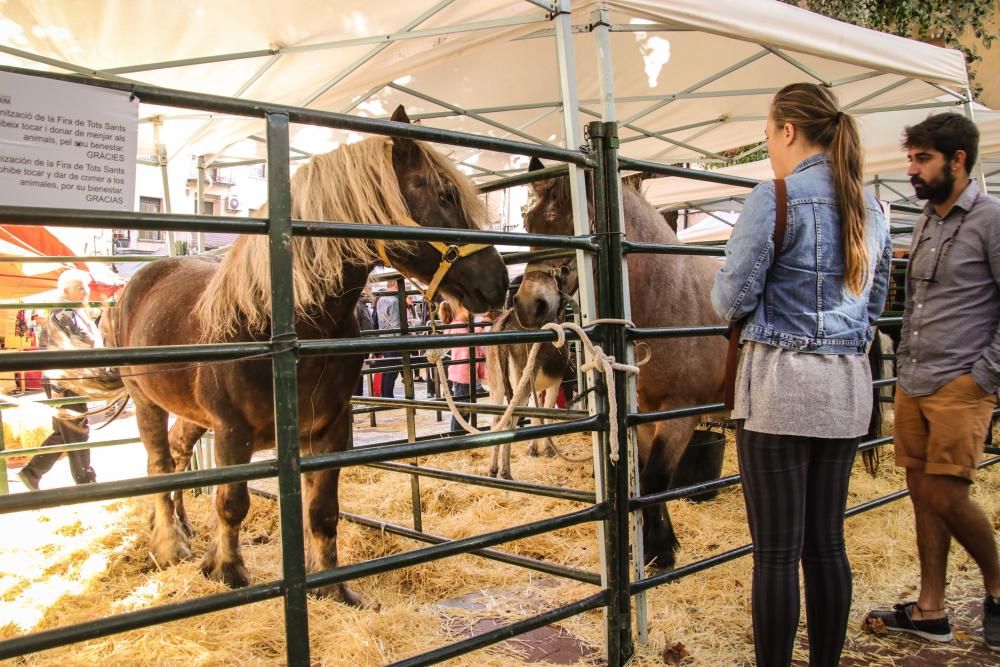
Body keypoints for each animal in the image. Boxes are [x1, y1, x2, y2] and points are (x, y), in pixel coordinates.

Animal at [99, 107, 508, 604]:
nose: (499, 282)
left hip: (191, 414)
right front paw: (227, 573)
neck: (283, 319)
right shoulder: (231, 432)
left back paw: (180, 529)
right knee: (160, 465)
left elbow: (322, 510)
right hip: (147, 403)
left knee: (177, 457)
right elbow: (232, 503)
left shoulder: (330, 427)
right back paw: (169, 546)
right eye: (445, 193)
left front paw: (333, 590)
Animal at [516, 158, 728, 568]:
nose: (530, 305)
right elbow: (643, 479)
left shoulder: (680, 412)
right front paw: (654, 546)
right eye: (529, 223)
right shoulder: (640, 414)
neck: (669, 299)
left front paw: (660, 552)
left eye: (576, 224)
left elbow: (656, 479)